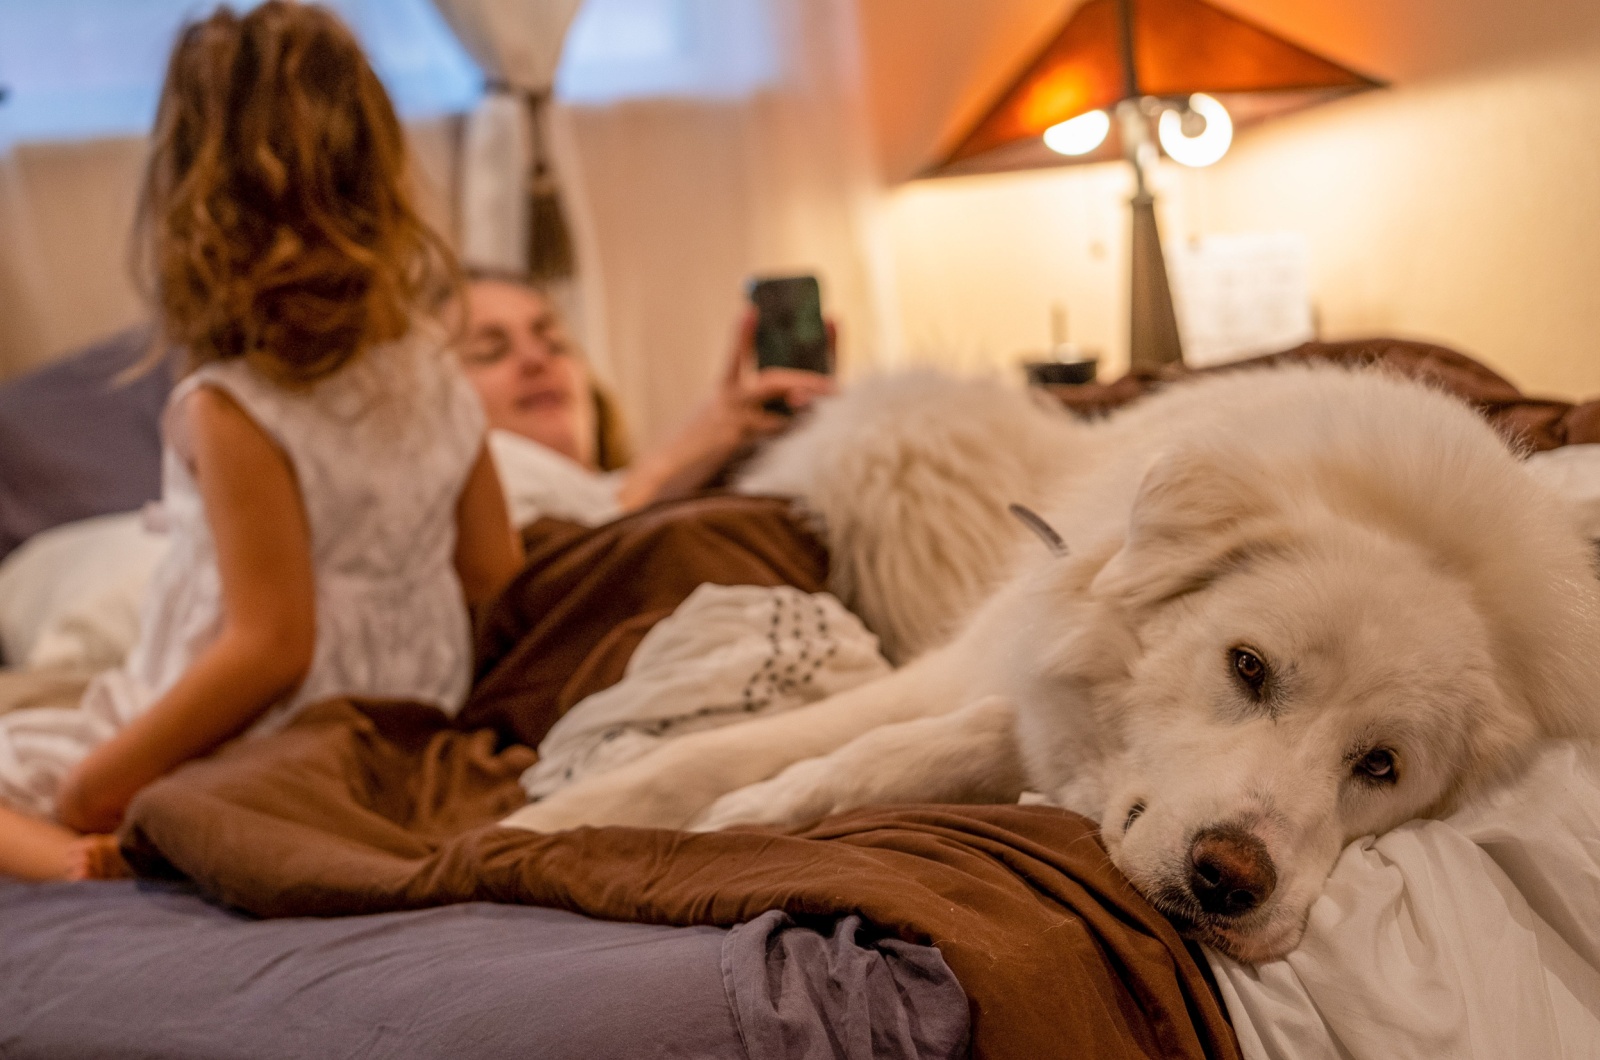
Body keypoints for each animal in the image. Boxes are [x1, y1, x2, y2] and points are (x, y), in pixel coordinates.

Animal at [505, 365, 1600, 960]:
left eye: (1381, 767)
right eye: (1248, 668)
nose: (1228, 884)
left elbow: (929, 748)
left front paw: (762, 810)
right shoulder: (975, 667)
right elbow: (709, 758)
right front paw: (539, 826)